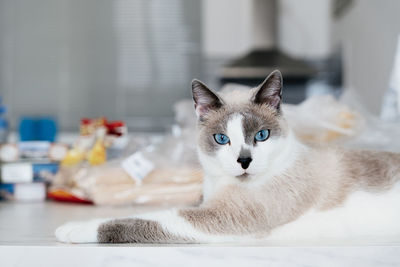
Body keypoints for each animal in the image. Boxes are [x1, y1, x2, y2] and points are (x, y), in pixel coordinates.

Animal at [55, 70, 400, 244]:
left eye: (261, 136)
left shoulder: (221, 218)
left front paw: (71, 230)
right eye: (222, 139)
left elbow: (138, 220)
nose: (244, 161)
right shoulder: (208, 206)